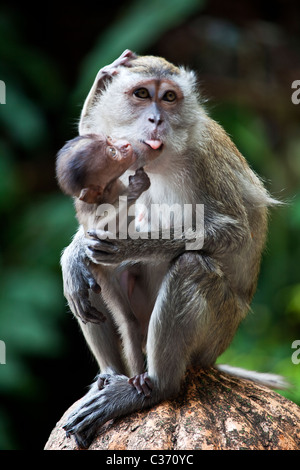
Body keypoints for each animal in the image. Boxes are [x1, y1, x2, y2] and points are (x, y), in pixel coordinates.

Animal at [61, 49, 284, 446]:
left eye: (168, 97)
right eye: (141, 94)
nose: (156, 119)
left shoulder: (205, 159)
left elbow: (235, 233)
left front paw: (131, 244)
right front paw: (75, 253)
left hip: (216, 332)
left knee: (191, 267)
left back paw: (153, 388)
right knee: (95, 277)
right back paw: (110, 373)